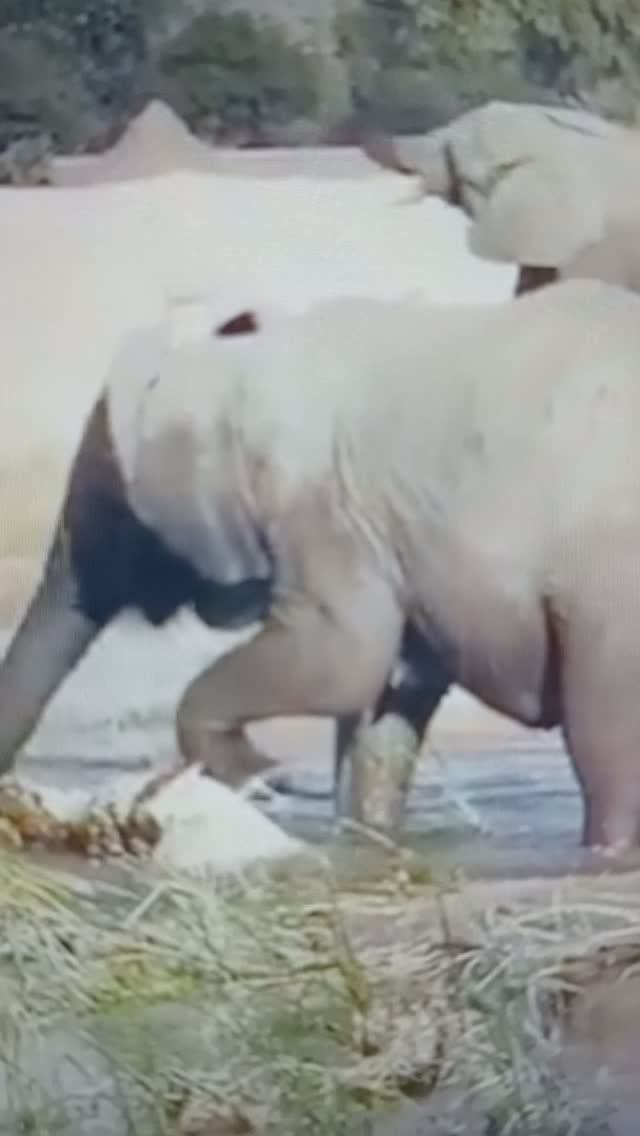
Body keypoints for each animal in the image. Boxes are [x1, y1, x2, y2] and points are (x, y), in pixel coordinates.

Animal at [5, 279, 640, 850]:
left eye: (110, 481)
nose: (19, 802)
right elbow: (386, 697)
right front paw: (363, 840)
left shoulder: (326, 506)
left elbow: (342, 658)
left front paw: (259, 774)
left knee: (604, 746)